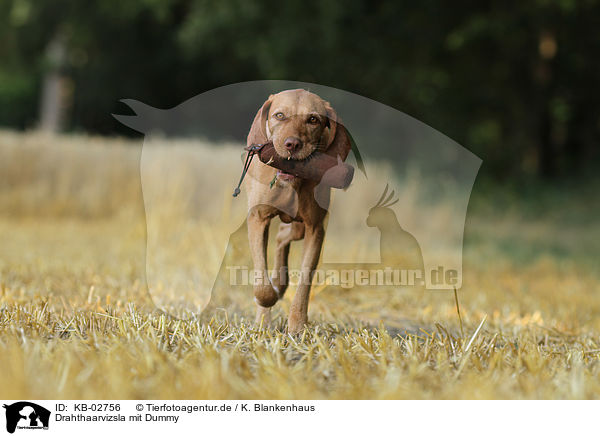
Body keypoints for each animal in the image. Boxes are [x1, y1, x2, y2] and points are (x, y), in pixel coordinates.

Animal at [245, 88, 352, 334]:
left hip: (299, 227)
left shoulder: (315, 229)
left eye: (313, 119)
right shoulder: (257, 218)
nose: (292, 144)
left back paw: (280, 284)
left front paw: (297, 325)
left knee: (282, 237)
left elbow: (304, 282)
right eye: (279, 115)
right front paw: (267, 301)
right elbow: (261, 284)